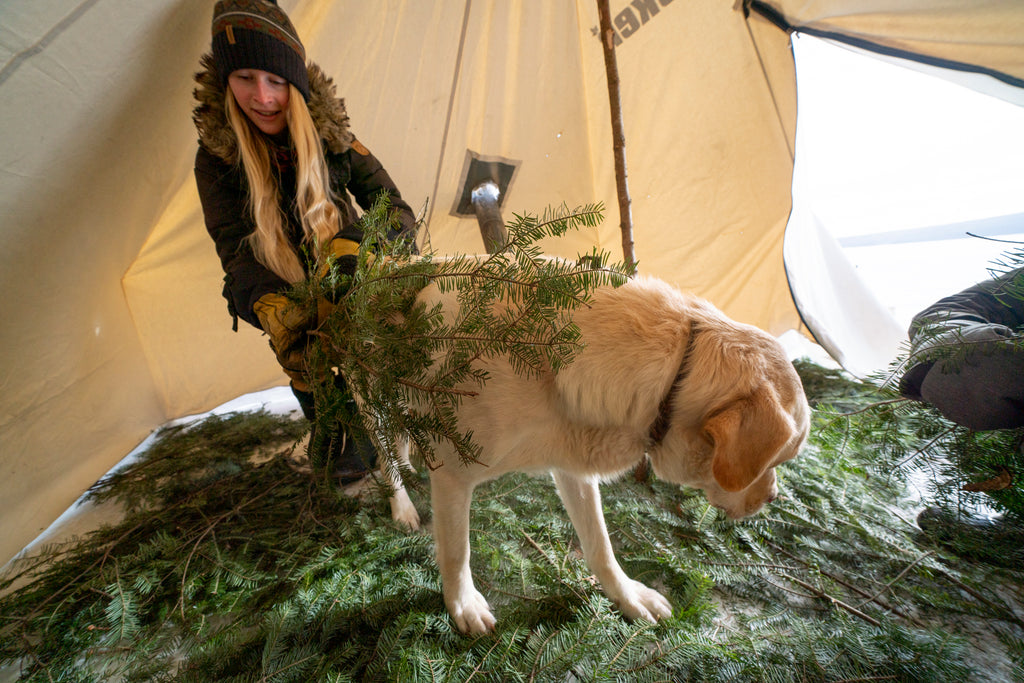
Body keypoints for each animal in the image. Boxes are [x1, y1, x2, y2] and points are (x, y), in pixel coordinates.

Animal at [376, 272, 806, 634]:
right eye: (774, 461)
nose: (774, 497)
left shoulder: (573, 466)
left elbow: (601, 547)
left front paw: (629, 597)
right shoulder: (454, 473)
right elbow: (456, 552)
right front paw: (462, 604)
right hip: (373, 398)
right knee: (383, 453)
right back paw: (403, 507)